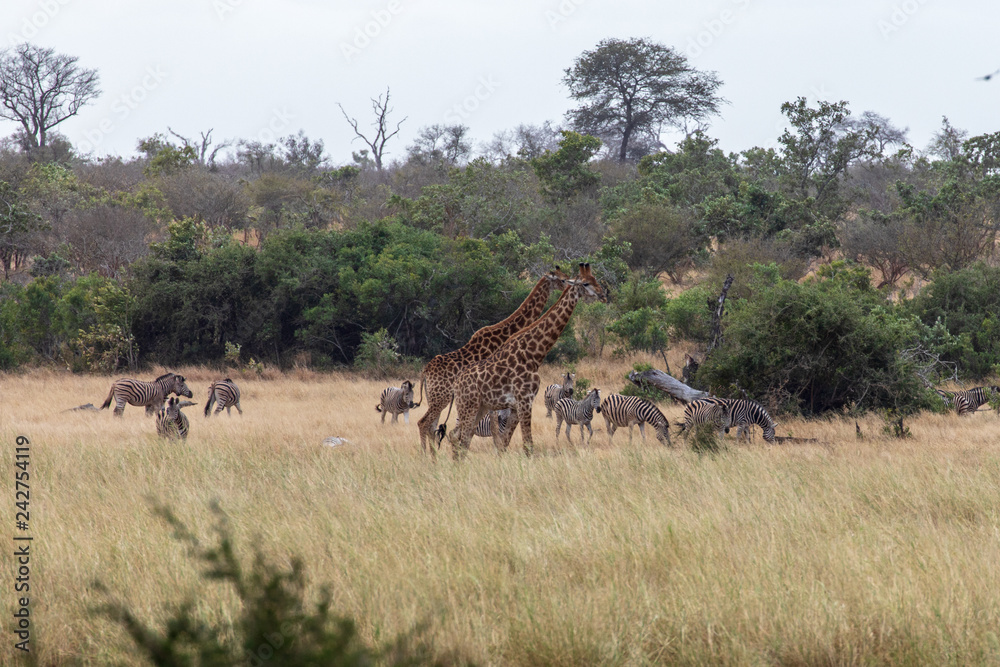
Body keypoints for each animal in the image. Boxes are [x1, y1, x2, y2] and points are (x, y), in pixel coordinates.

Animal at [415, 267, 570, 453]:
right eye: (562, 279)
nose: (570, 286)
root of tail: (425, 372)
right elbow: (494, 428)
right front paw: (498, 450)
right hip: (442, 397)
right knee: (423, 423)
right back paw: (427, 456)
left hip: (435, 397)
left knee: (432, 427)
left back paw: (434, 457)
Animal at [444, 263, 607, 458]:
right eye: (585, 283)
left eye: (595, 279)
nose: (603, 295)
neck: (534, 354)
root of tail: (456, 384)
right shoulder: (525, 400)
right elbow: (528, 445)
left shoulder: (517, 405)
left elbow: (504, 443)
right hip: (468, 406)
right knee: (459, 436)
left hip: (480, 407)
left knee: (460, 436)